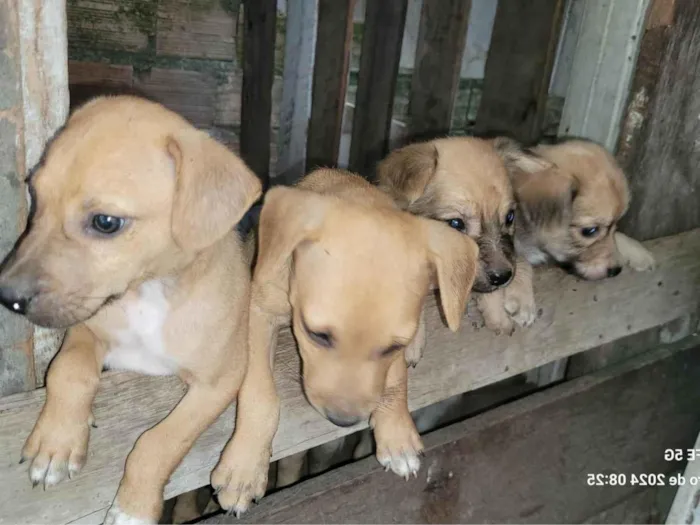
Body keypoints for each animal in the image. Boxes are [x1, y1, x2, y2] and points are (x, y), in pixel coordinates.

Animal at [0, 96, 262, 520]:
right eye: (34, 196)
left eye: (106, 222)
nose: (8, 297)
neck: (147, 294)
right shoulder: (85, 328)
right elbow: (68, 371)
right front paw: (56, 443)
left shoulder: (220, 381)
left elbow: (159, 443)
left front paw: (132, 508)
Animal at [209, 169, 482, 516]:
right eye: (316, 334)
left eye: (392, 348)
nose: (342, 421)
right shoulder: (258, 314)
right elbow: (261, 394)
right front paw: (243, 471)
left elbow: (395, 380)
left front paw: (397, 434)